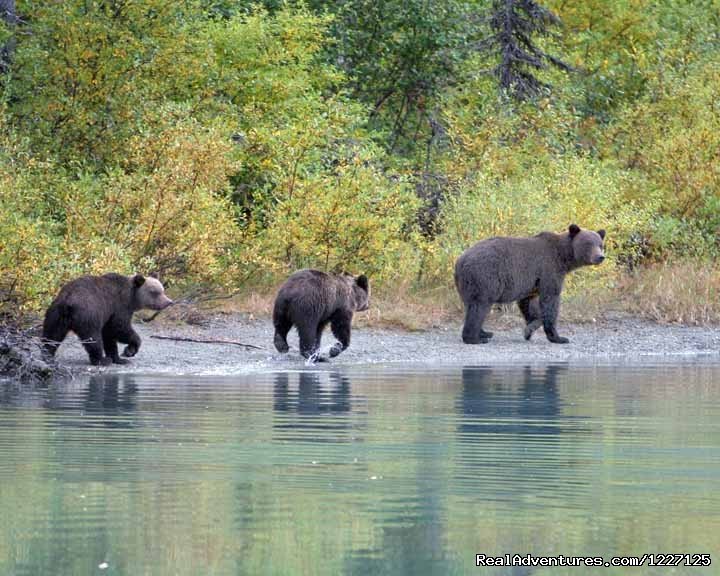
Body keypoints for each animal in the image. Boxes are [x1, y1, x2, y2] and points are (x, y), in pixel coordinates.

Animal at [41, 274, 173, 364]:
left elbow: (109, 336)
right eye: (155, 292)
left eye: (162, 290)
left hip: (55, 314)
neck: (132, 298)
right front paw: (129, 351)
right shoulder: (119, 307)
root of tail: (68, 300)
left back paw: (47, 355)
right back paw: (101, 360)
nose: (169, 302)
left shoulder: (109, 315)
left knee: (52, 335)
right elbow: (119, 328)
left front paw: (119, 358)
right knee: (93, 337)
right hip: (89, 314)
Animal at [458, 223, 604, 344]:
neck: (563, 258)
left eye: (600, 245)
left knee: (471, 306)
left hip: (467, 284)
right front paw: (558, 337)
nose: (600, 257)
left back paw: (484, 333)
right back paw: (474, 338)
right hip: (485, 277)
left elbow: (528, 303)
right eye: (588, 244)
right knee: (479, 306)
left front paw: (529, 329)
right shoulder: (549, 270)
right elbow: (551, 300)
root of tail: (461, 261)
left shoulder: (531, 283)